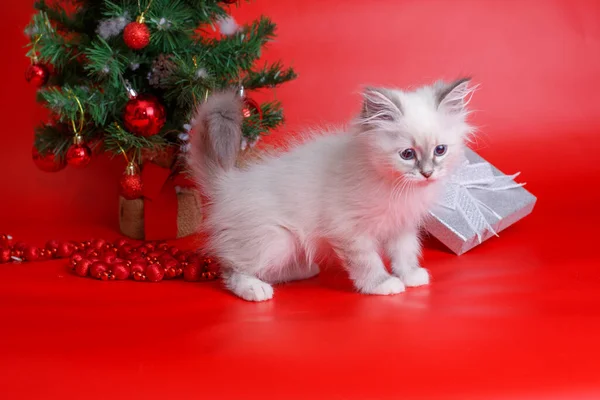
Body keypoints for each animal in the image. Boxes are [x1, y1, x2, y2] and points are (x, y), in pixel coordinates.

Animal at [188, 78, 474, 302]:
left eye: (440, 150)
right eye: (407, 154)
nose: (427, 173)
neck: (394, 186)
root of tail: (229, 183)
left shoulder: (400, 226)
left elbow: (404, 253)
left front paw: (410, 275)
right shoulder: (349, 229)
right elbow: (367, 261)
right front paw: (382, 284)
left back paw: (302, 270)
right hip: (277, 239)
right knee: (231, 268)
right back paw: (255, 289)